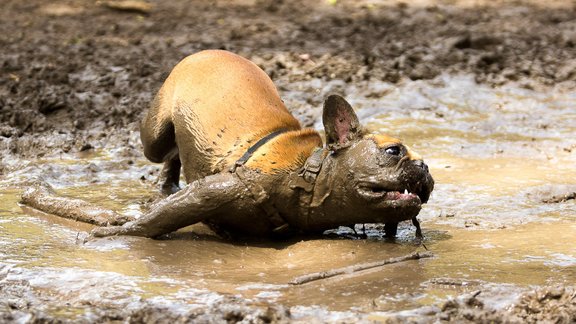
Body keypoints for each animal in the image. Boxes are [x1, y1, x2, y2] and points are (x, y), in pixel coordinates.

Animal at [23, 49, 436, 239]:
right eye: (394, 151)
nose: (426, 167)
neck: (309, 174)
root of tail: (206, 52)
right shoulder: (214, 192)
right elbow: (157, 220)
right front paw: (116, 234)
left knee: (176, 157)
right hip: (153, 134)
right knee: (163, 151)